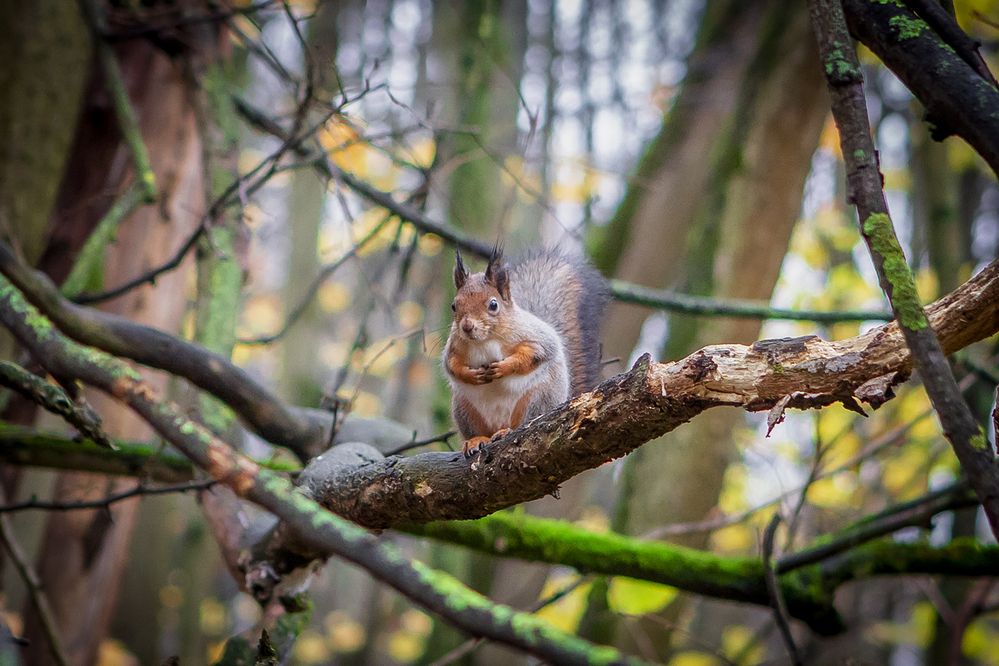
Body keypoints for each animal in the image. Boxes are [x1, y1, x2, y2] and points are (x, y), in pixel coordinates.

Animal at [443, 247, 608, 457]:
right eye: (454, 306)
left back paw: (507, 431)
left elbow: (534, 354)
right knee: (478, 430)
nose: (467, 327)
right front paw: (471, 375)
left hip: (536, 399)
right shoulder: (453, 348)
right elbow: (452, 365)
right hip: (464, 408)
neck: (484, 340)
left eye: (493, 305)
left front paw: (504, 367)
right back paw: (476, 439)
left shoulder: (536, 338)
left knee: (522, 424)